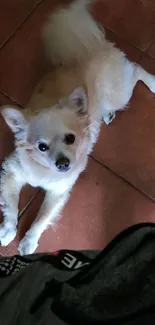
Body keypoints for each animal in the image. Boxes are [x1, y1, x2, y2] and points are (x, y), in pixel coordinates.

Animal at [0, 0, 155, 254]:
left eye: (71, 139)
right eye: (42, 147)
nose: (63, 164)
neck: (45, 173)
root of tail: (92, 47)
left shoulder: (59, 192)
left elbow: (42, 218)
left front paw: (28, 241)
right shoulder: (11, 172)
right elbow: (11, 206)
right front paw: (7, 231)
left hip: (120, 93)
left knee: (136, 68)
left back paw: (152, 82)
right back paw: (107, 114)